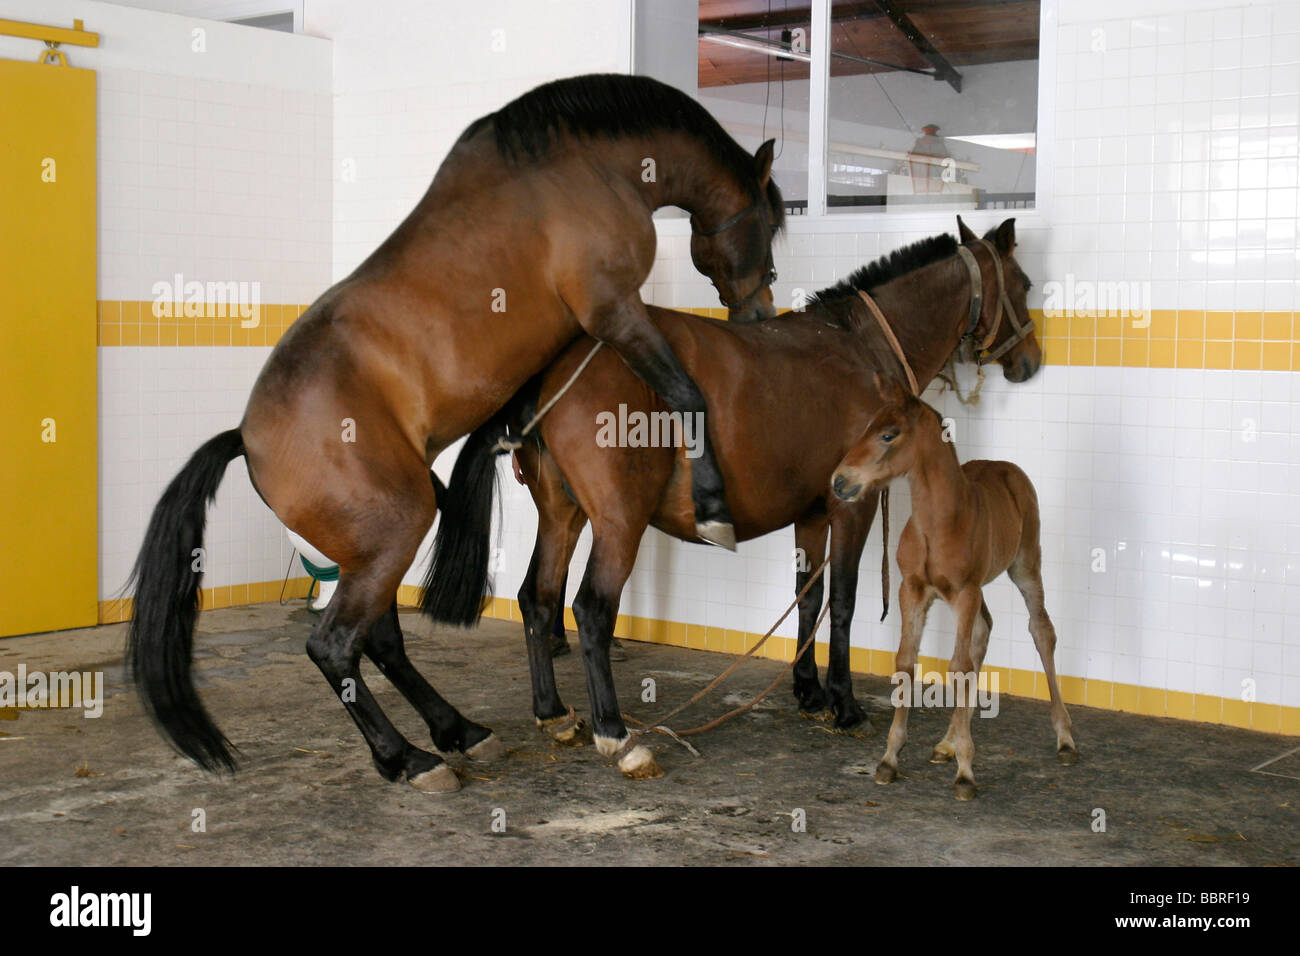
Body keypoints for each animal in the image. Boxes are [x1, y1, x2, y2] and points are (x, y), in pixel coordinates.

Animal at [125, 74, 787, 794]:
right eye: (770, 224)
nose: (761, 314)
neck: (585, 167)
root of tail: (246, 439)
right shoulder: (615, 311)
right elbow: (687, 394)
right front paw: (715, 507)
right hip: (396, 530)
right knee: (335, 646)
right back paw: (408, 759)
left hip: (372, 551)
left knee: (379, 642)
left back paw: (458, 731)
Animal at [431, 217, 1042, 778]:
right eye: (1026, 283)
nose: (1030, 360)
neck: (862, 348)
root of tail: (557, 366)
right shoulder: (853, 505)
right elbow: (842, 602)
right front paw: (844, 704)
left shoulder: (813, 511)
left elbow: (808, 598)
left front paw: (808, 690)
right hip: (618, 521)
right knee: (591, 611)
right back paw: (618, 736)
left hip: (563, 514)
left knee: (537, 599)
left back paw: (554, 713)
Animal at [831, 373, 1078, 800]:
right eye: (866, 428)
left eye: (888, 435)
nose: (840, 482)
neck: (938, 522)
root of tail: (1006, 467)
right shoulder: (912, 590)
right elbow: (906, 662)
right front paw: (890, 759)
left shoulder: (964, 592)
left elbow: (958, 665)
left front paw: (966, 772)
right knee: (983, 632)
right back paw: (947, 743)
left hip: (1024, 564)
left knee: (1040, 629)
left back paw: (1063, 739)